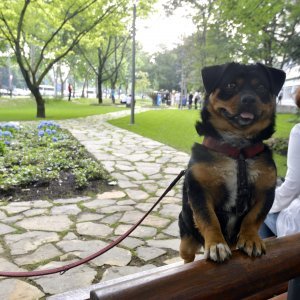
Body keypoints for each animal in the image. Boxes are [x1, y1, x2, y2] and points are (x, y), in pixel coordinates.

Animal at [178, 62, 286, 262]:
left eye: (261, 88)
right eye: (231, 85)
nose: (249, 99)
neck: (237, 150)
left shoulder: (266, 191)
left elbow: (253, 218)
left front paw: (251, 239)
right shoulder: (199, 190)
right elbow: (208, 218)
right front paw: (216, 244)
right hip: (186, 240)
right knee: (187, 254)